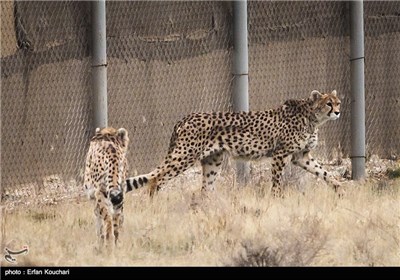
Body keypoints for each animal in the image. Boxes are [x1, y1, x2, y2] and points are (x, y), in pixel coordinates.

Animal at [126, 89, 342, 197]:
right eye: (328, 103)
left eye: (338, 102)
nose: (338, 112)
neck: (313, 118)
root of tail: (185, 118)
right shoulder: (280, 154)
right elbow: (277, 181)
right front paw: (277, 200)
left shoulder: (301, 156)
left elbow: (324, 172)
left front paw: (339, 189)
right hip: (184, 157)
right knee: (156, 180)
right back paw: (154, 204)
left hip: (212, 161)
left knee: (205, 190)